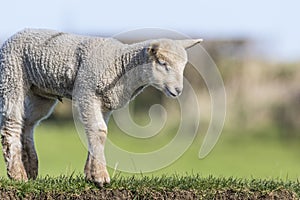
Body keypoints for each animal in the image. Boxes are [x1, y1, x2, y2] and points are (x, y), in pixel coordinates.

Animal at [0, 28, 202, 187]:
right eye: (162, 63)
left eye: (183, 65)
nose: (178, 91)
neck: (122, 66)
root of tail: (17, 34)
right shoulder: (87, 93)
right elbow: (98, 130)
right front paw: (100, 176)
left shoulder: (105, 103)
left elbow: (99, 133)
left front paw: (90, 173)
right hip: (12, 78)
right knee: (12, 124)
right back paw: (17, 174)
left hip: (40, 94)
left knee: (27, 123)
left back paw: (30, 168)